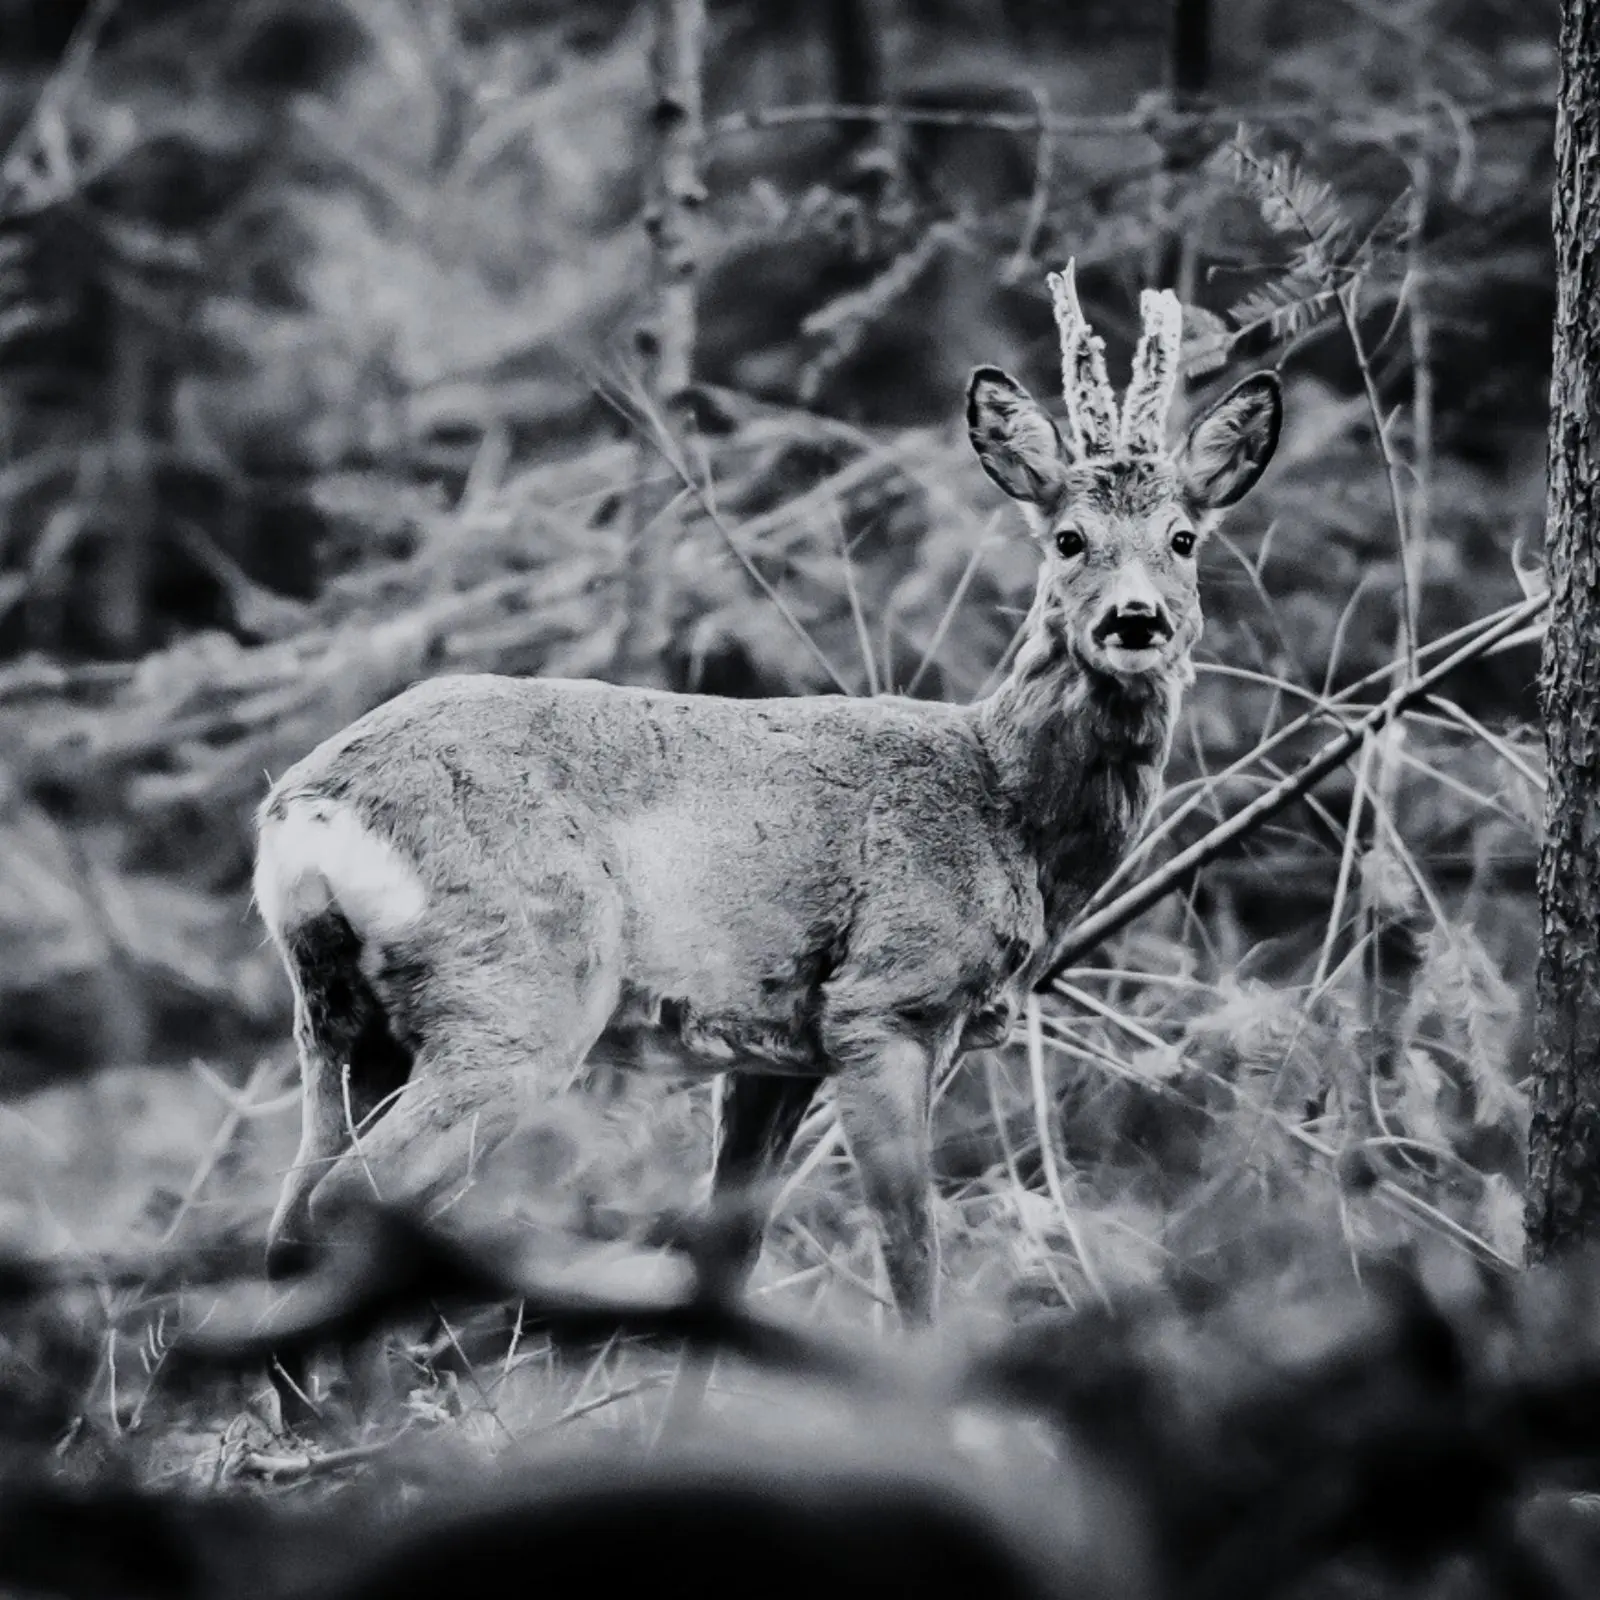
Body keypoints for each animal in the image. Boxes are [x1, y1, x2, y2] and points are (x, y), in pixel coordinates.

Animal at [252, 262, 1281, 1324]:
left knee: (290, 1219)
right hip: (516, 979)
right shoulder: (884, 1003)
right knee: (350, 1196)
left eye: (1184, 539)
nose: (1135, 620)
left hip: (341, 1022)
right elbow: (910, 1255)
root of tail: (308, 807)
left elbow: (725, 1253)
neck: (1008, 810)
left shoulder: (773, 1056)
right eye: (1069, 539)